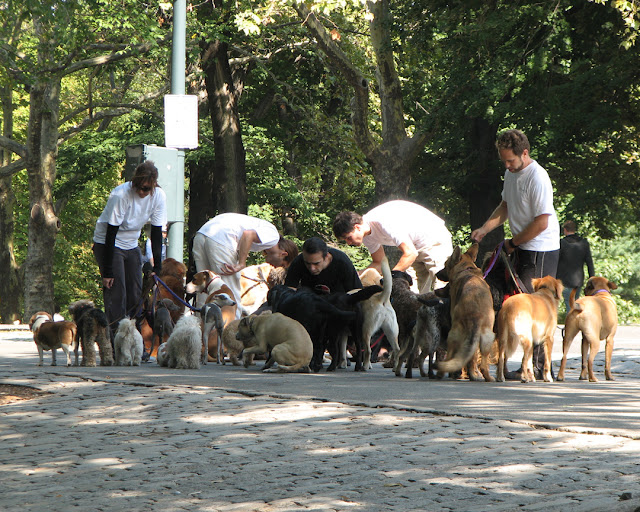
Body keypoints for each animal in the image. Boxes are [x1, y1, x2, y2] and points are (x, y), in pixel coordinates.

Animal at [436, 243, 496, 380]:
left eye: (445, 265)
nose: (436, 274)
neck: (467, 269)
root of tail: (475, 314)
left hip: (453, 336)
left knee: (450, 357)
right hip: (487, 338)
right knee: (481, 363)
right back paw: (484, 377)